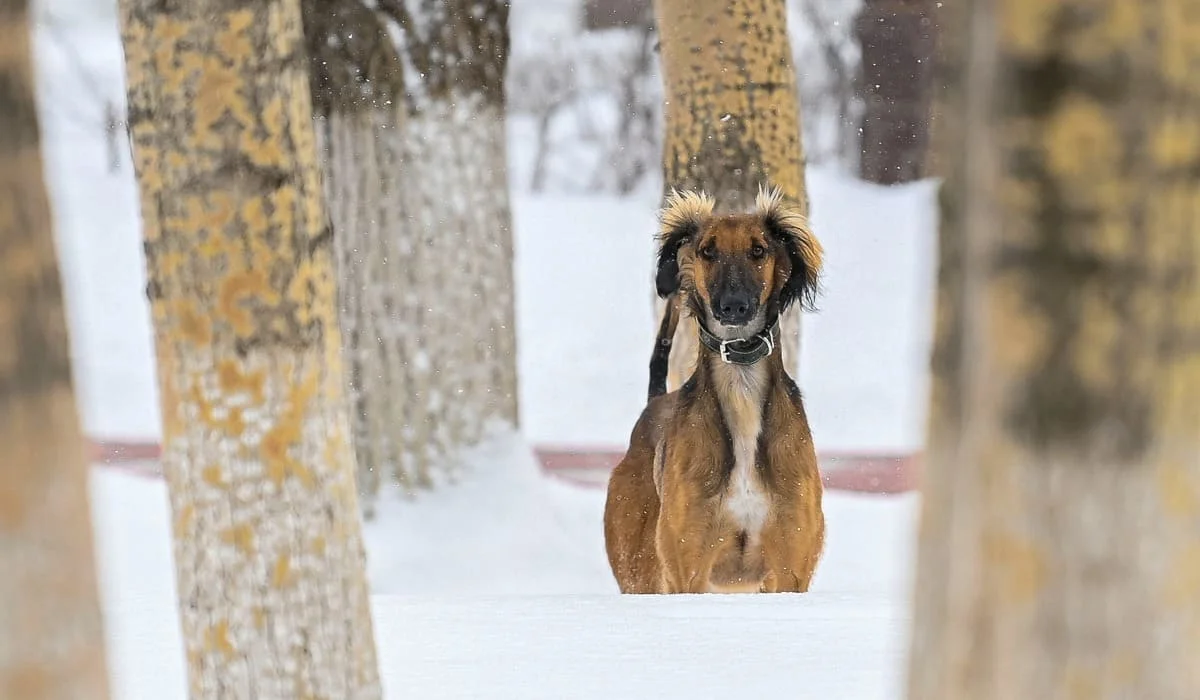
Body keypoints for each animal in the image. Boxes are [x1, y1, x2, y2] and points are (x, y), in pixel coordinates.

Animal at [600, 184, 825, 590]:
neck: (741, 386)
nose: (733, 306)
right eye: (707, 250)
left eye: (759, 250)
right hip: (640, 568)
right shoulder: (688, 566)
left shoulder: (791, 566)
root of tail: (656, 401)